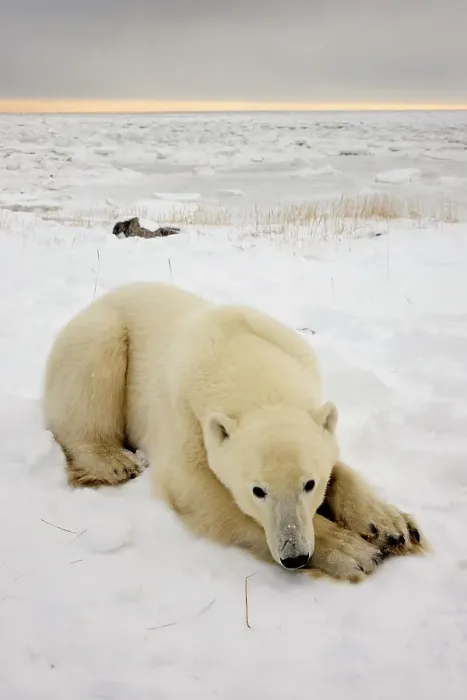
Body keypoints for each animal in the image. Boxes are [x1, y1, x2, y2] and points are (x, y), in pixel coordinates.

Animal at [43, 281, 425, 582]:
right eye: (258, 490)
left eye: (309, 484)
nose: (295, 556)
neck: (244, 359)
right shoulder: (186, 418)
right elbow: (200, 491)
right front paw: (352, 551)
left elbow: (338, 465)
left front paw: (390, 526)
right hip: (100, 333)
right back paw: (115, 461)